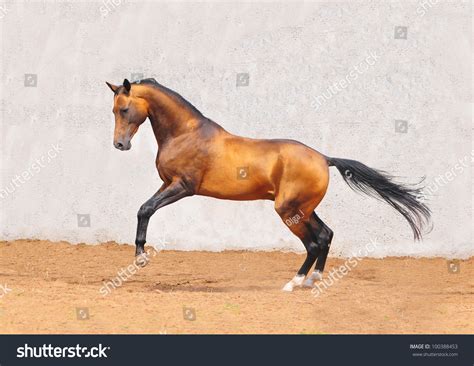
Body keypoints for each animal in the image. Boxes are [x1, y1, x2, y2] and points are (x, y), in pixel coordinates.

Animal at [105, 79, 432, 292]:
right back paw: (313, 280)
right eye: (114, 110)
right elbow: (142, 209)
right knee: (325, 235)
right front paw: (140, 255)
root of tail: (324, 158)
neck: (186, 134)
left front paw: (141, 257)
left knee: (314, 242)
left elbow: (146, 209)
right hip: (302, 208)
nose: (119, 145)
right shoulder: (167, 184)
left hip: (288, 210)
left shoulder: (183, 186)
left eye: (124, 109)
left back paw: (293, 283)